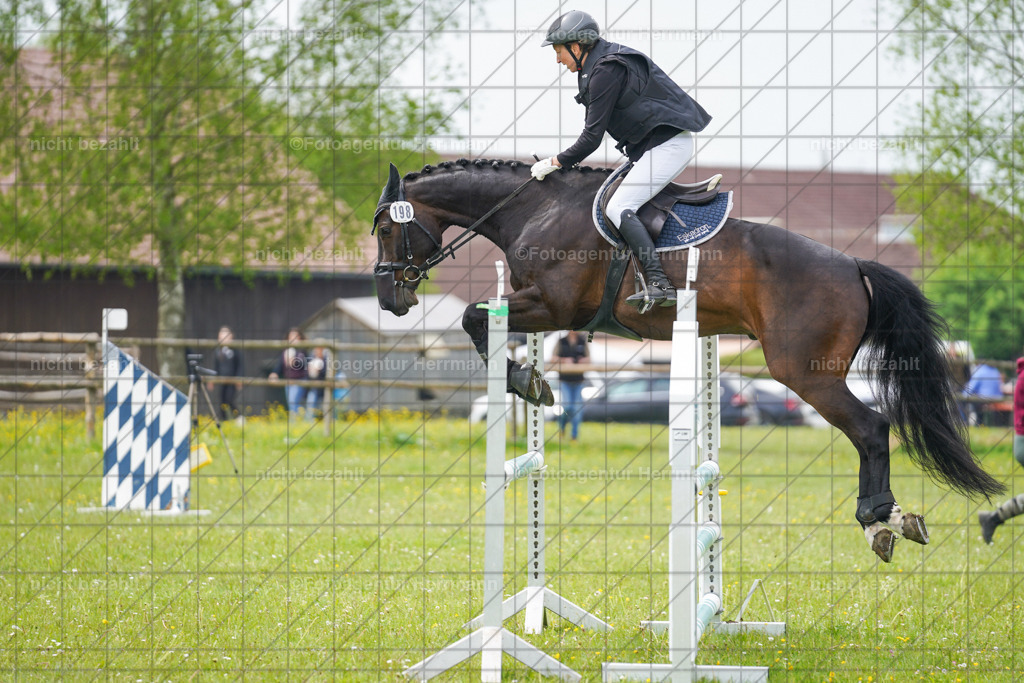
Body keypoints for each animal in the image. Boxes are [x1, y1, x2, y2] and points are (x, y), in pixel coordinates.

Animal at [370, 157, 1004, 562]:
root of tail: (853, 266)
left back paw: (879, 520)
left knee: (871, 427)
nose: (389, 298)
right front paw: (530, 379)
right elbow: (479, 319)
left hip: (804, 372)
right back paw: (888, 519)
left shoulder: (553, 306)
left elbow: (474, 318)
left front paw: (526, 380)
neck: (533, 208)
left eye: (384, 229)